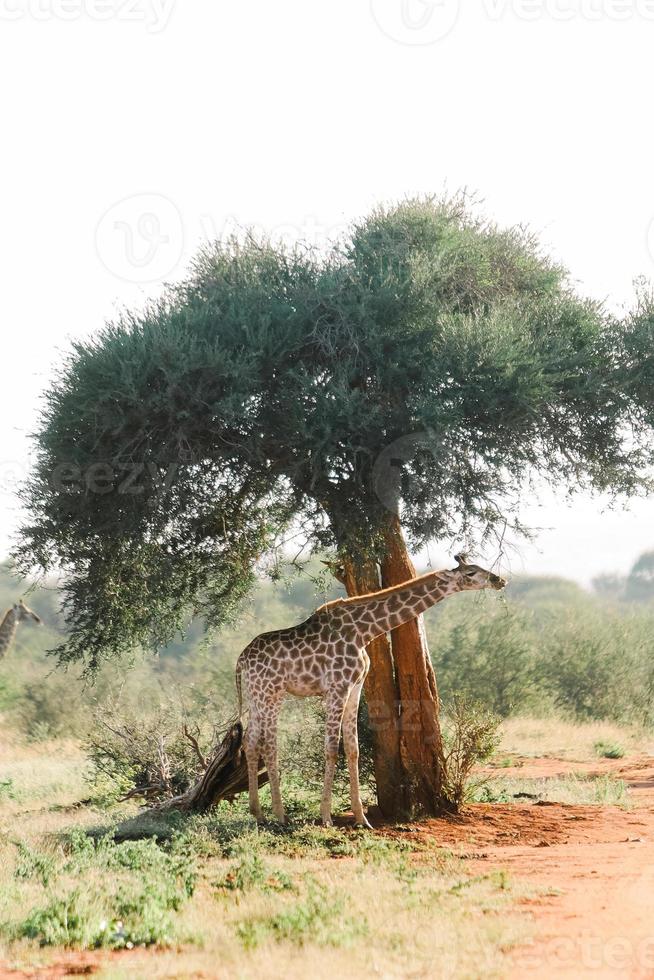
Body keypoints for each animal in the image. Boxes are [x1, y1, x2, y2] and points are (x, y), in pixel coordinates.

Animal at [237, 552, 508, 828]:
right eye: (471, 573)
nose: (499, 580)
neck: (364, 631)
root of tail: (241, 660)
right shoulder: (337, 687)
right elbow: (332, 749)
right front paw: (326, 817)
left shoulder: (355, 687)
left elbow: (353, 748)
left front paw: (361, 818)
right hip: (272, 693)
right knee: (269, 746)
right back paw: (280, 815)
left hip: (256, 696)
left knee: (250, 742)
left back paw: (258, 812)